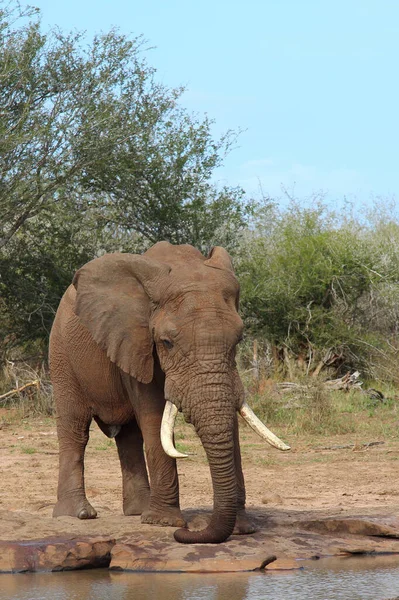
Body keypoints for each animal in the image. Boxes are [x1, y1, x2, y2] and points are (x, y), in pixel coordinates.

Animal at [49, 240, 290, 544]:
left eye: (239, 340)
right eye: (166, 342)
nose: (186, 532)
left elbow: (231, 423)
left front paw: (242, 528)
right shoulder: (136, 340)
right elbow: (154, 418)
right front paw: (164, 523)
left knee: (129, 436)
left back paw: (138, 511)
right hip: (61, 352)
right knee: (75, 428)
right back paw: (79, 513)